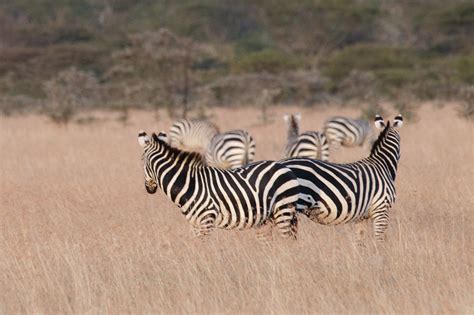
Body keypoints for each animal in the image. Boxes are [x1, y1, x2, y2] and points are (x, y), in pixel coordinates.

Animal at [138, 131, 300, 239]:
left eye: (141, 161)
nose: (149, 189)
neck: (189, 183)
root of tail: (283, 167)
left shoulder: (206, 220)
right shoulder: (194, 223)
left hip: (283, 209)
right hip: (269, 217)